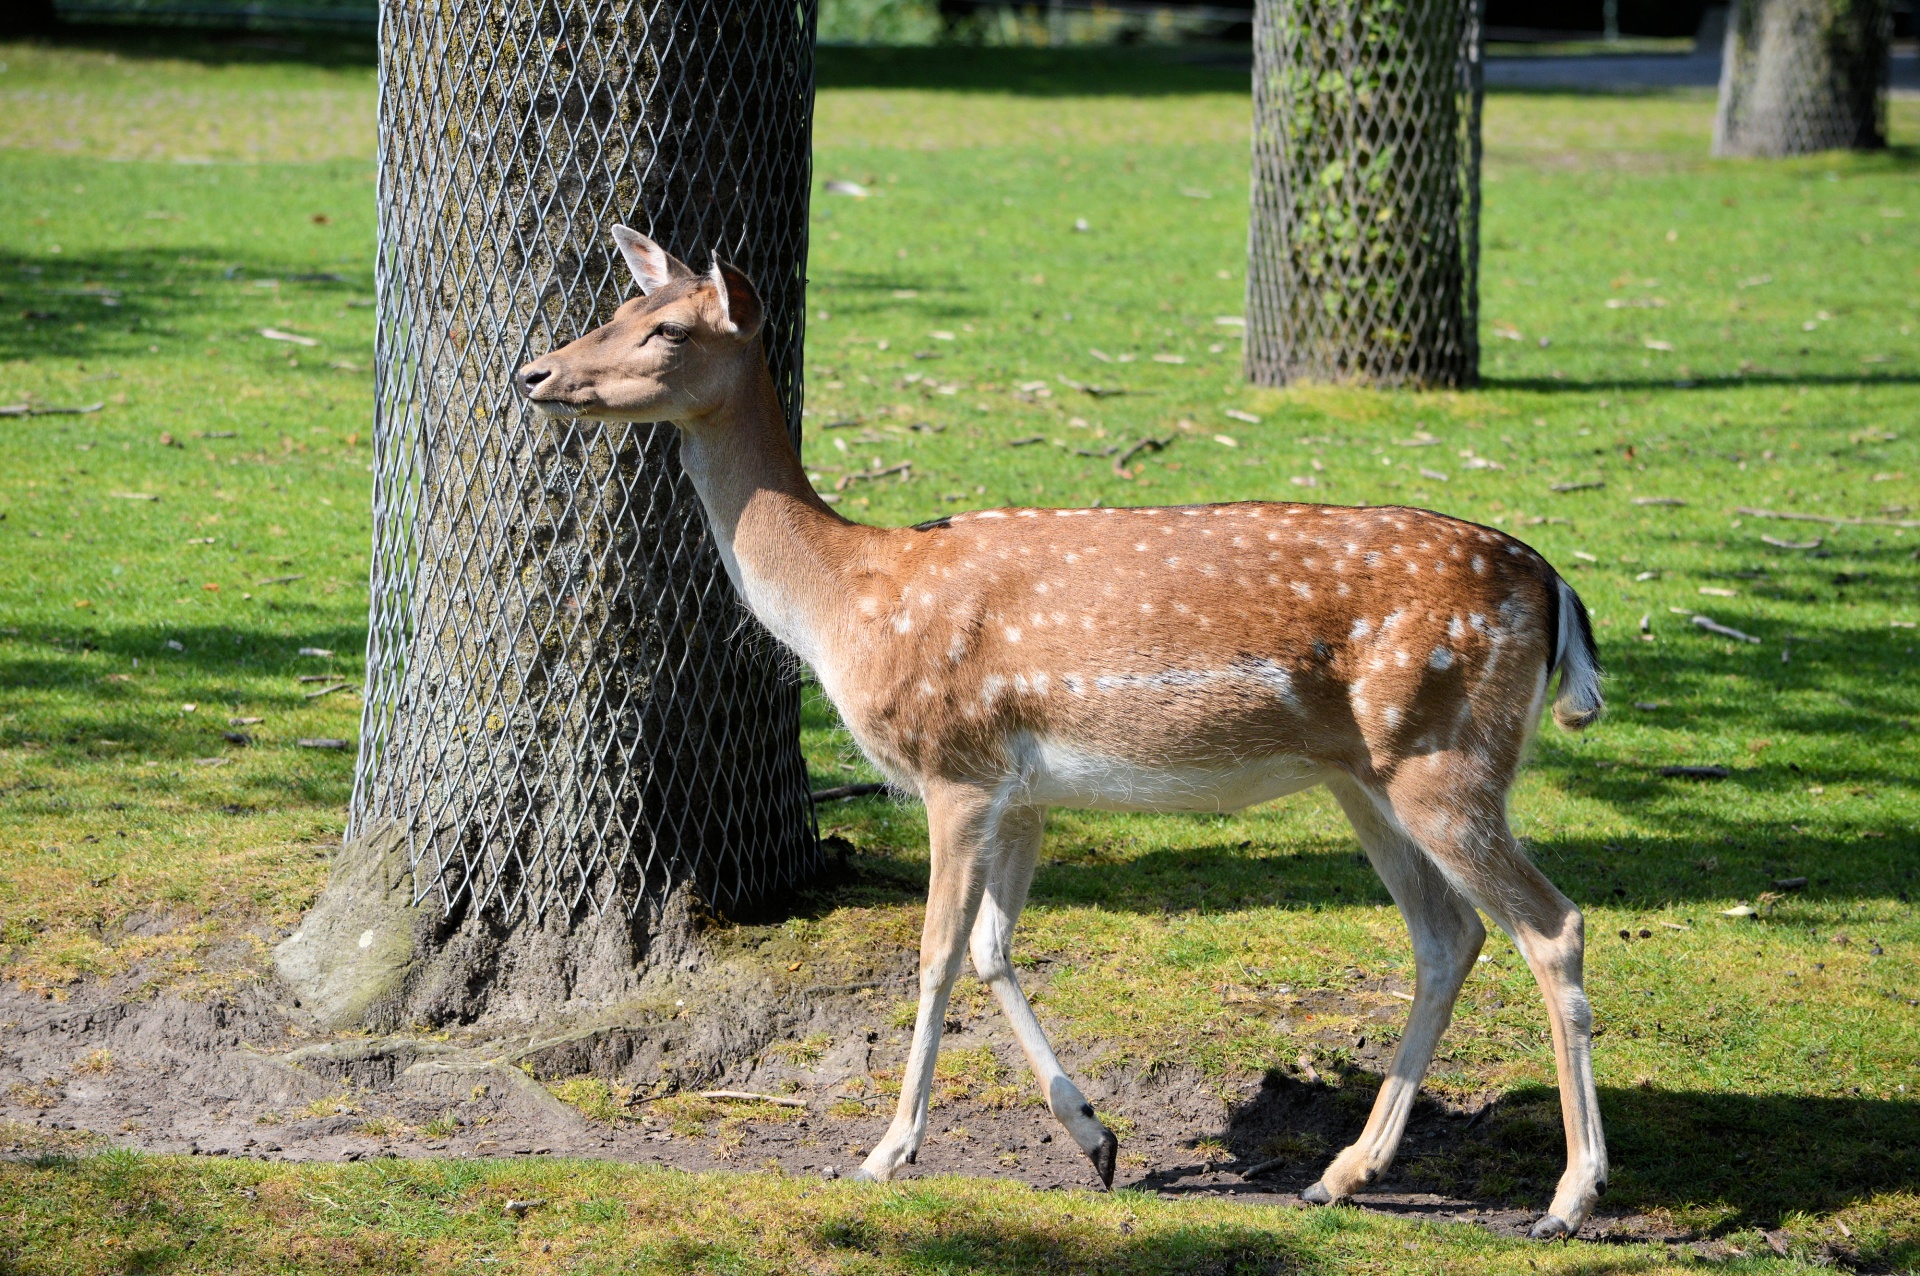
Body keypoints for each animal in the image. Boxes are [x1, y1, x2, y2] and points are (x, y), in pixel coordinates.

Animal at [518, 226, 1612, 1235]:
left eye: (667, 328)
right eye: (617, 306)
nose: (535, 371)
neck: (848, 602)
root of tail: (1556, 588)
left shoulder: (954, 764)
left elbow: (935, 952)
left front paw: (887, 1151)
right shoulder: (1025, 790)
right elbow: (996, 947)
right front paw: (1096, 1138)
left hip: (1446, 756)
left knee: (1551, 924)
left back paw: (1569, 1197)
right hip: (1365, 776)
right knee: (1448, 935)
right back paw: (1343, 1172)